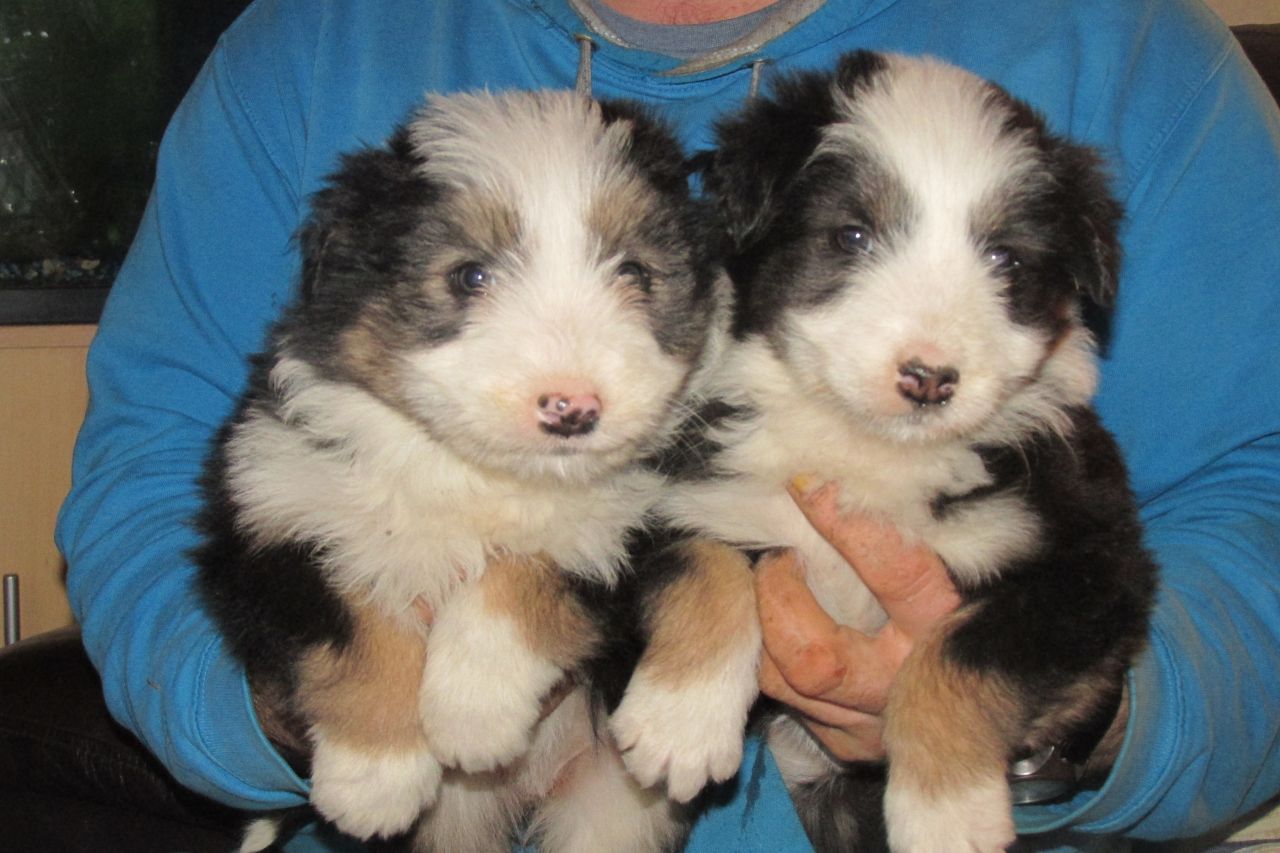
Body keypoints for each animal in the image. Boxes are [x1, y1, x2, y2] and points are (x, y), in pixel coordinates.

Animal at [190, 87, 732, 850]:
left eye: (635, 272)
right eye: (469, 275)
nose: (572, 408)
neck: (471, 471)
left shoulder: (629, 525)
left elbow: (530, 569)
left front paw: (473, 710)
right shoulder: (270, 516)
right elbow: (353, 616)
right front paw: (375, 778)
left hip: (615, 810)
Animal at [619, 53, 1162, 850]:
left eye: (1005, 257)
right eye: (851, 236)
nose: (929, 377)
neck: (863, 451)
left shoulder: (1090, 566)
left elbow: (957, 654)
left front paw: (945, 813)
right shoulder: (678, 488)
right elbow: (706, 562)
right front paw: (678, 726)